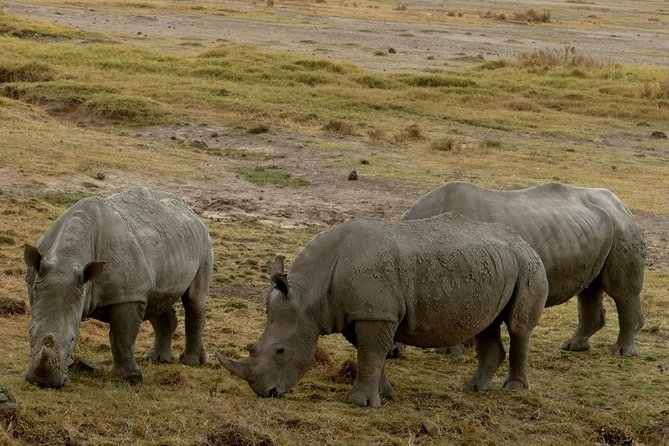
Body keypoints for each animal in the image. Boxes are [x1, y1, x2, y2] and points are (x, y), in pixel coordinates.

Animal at [23, 187, 213, 388]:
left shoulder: (128, 295)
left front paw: (129, 379)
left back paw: (192, 362)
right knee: (156, 300)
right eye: (29, 333)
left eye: (73, 339)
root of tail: (191, 212)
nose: (43, 382)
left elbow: (122, 337)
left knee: (194, 300)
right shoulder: (37, 282)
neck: (66, 261)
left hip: (204, 242)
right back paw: (157, 359)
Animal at [217, 213, 548, 408]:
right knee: (487, 324)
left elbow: (371, 354)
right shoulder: (362, 313)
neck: (310, 293)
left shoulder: (375, 313)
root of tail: (524, 241)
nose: (267, 393)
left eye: (281, 351)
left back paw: (514, 390)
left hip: (528, 264)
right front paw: (385, 393)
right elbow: (372, 355)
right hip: (498, 265)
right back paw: (473, 389)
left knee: (518, 326)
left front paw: (358, 403)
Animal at [399, 181, 646, 356]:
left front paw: (448, 351)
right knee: (589, 288)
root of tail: (621, 203)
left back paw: (621, 353)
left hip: (622, 227)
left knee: (620, 291)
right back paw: (572, 347)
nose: (394, 354)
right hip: (592, 229)